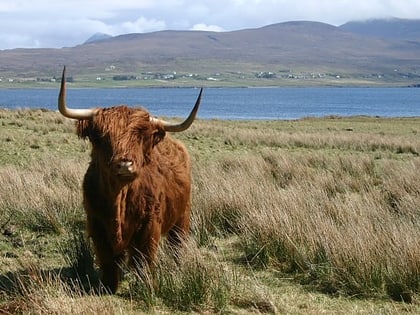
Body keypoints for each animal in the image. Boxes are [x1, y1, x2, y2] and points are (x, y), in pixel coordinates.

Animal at [58, 66, 203, 294]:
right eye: (100, 137)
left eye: (141, 137)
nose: (125, 165)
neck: (120, 198)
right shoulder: (96, 223)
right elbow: (107, 259)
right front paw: (108, 287)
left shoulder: (149, 225)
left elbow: (144, 259)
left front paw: (147, 287)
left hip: (183, 215)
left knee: (178, 243)